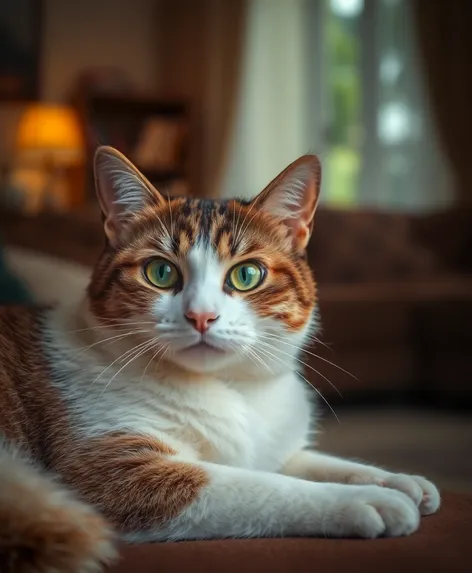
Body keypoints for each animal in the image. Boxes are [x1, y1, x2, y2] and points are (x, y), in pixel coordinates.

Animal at [0, 145, 438, 568]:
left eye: (247, 275)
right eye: (160, 272)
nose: (201, 316)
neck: (233, 388)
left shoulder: (272, 446)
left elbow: (310, 460)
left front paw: (391, 478)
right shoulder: (106, 469)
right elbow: (259, 485)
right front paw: (365, 499)